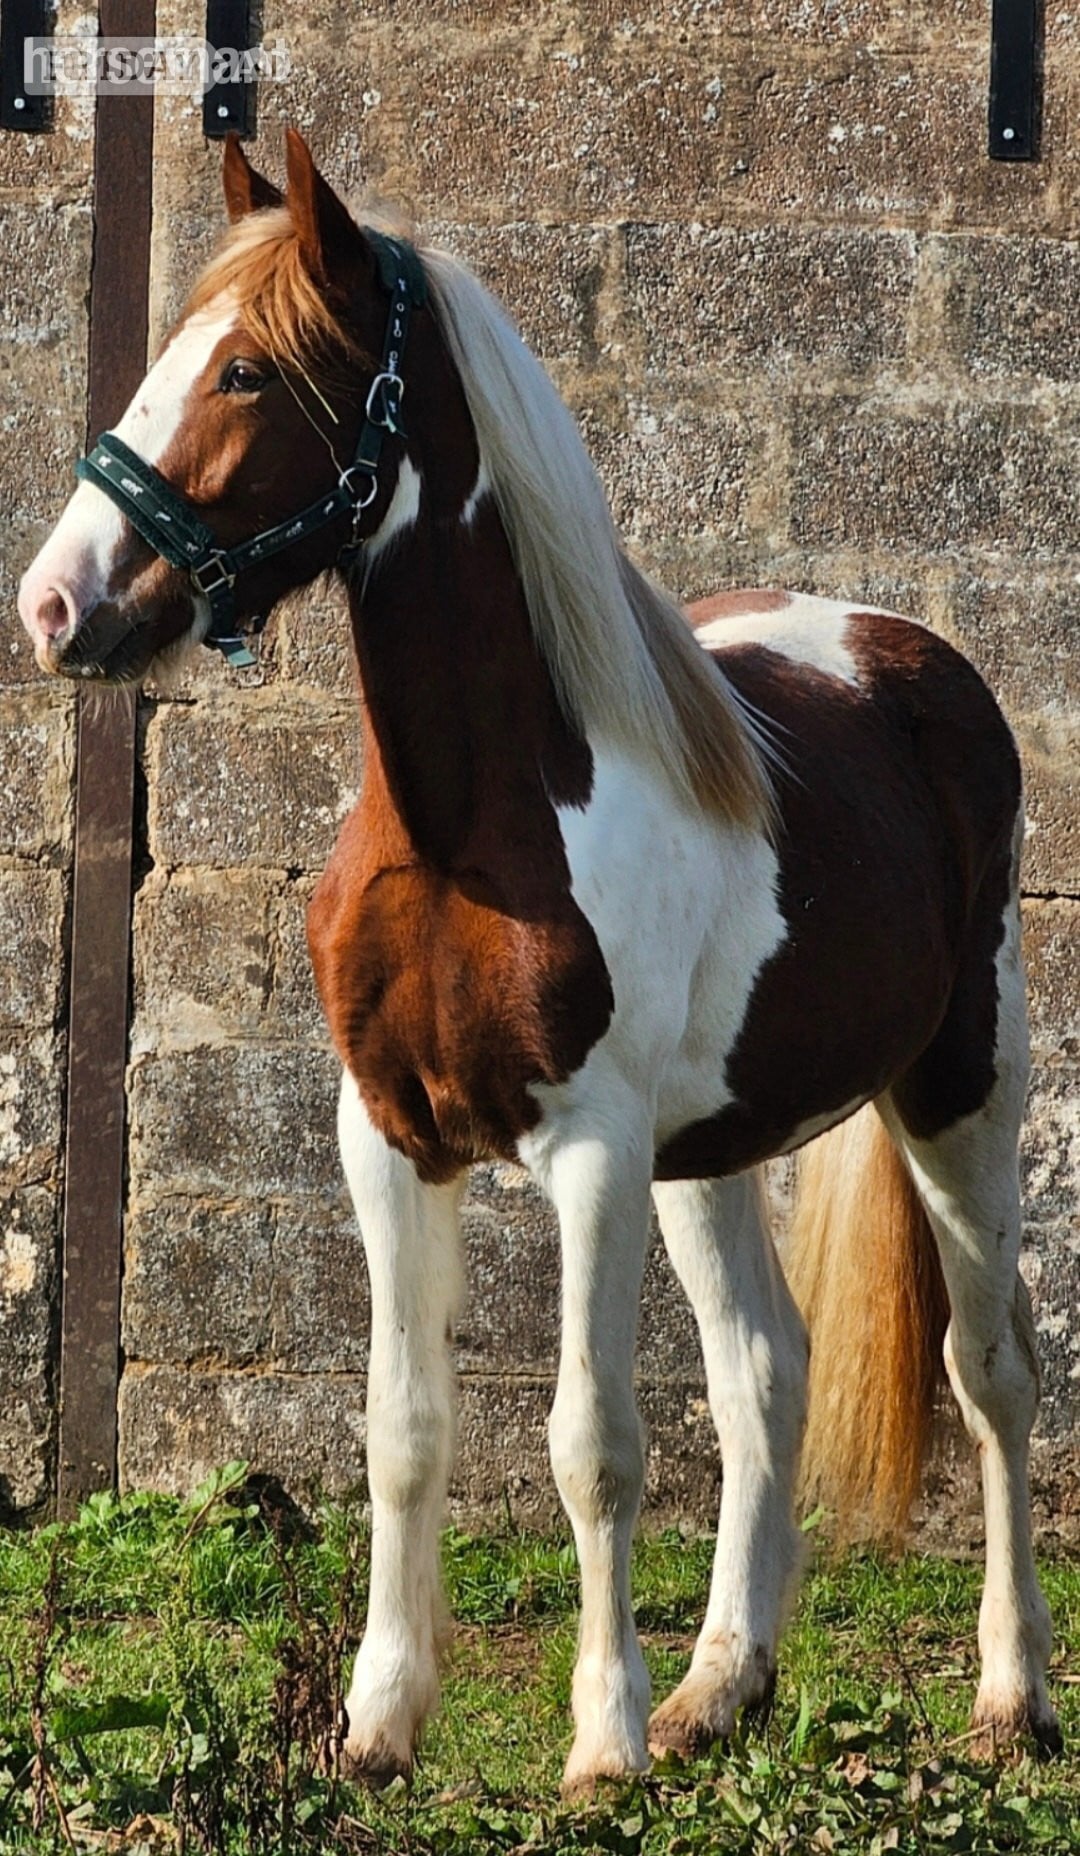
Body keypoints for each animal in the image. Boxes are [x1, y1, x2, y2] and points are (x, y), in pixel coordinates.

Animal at [18, 129, 1059, 1796]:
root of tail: (910, 650)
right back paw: (722, 1689)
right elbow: (403, 1427)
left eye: (243, 370)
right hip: (711, 1151)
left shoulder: (589, 1154)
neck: (477, 827)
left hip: (965, 1085)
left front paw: (603, 1741)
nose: (58, 607)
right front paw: (379, 1724)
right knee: (765, 1374)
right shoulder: (387, 1139)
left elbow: (593, 1446)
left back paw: (1011, 1695)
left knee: (993, 1371)